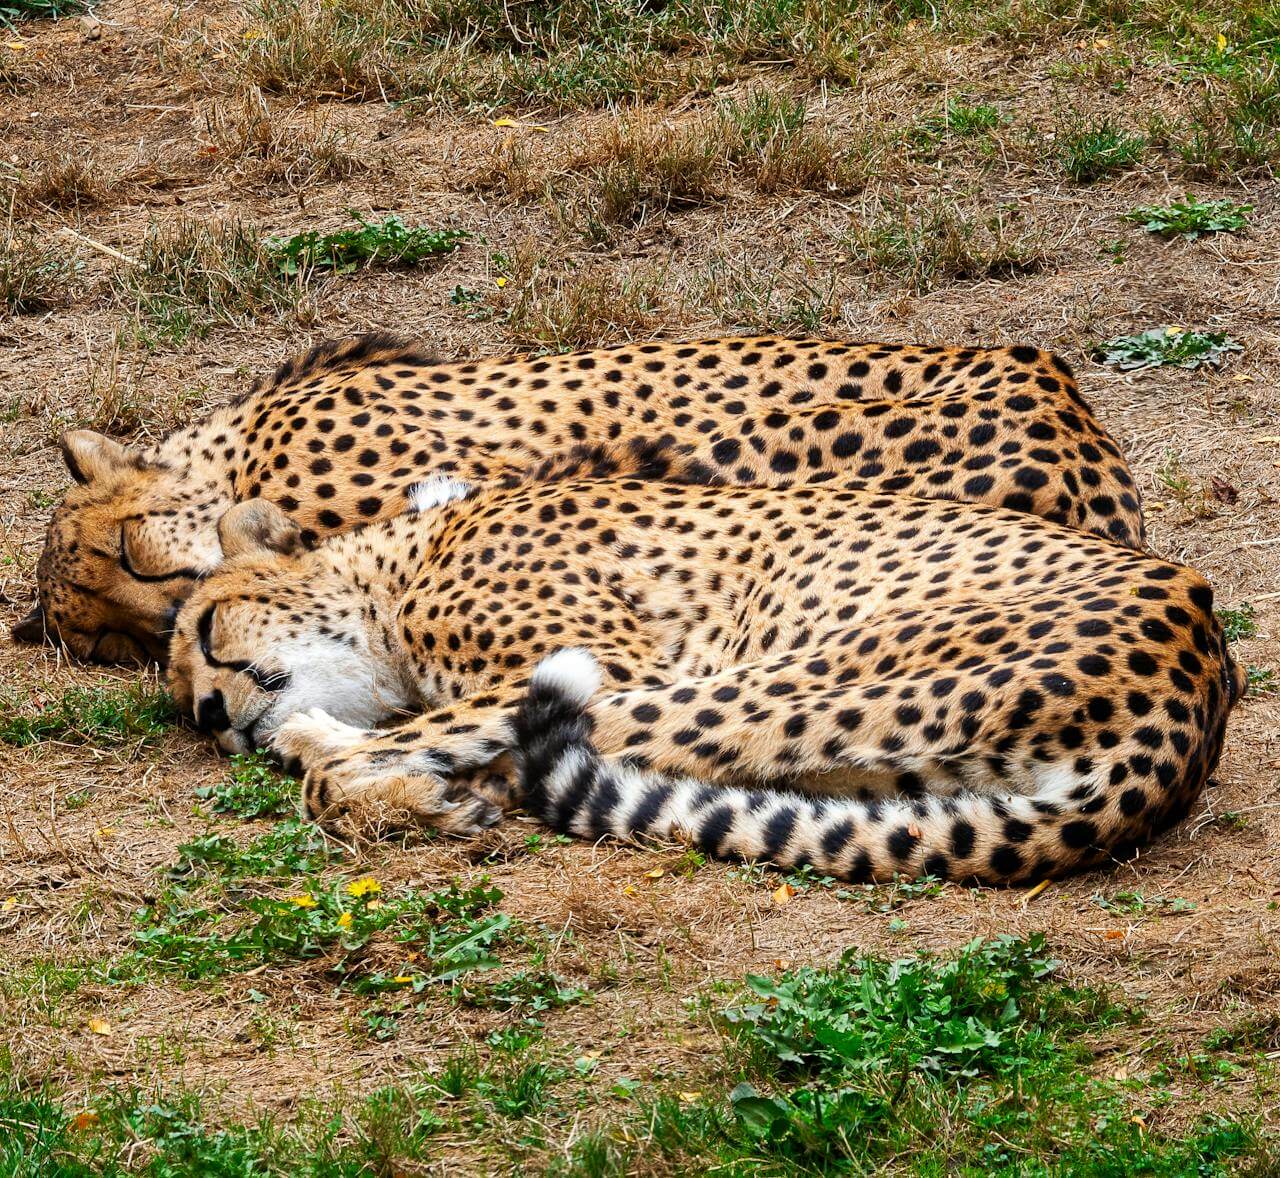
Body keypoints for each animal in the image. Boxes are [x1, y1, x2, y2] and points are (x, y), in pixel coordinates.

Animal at [165, 460, 1233, 880]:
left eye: (209, 630)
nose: (215, 717)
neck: (394, 569)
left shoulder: (604, 656)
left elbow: (377, 752)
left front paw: (362, 769)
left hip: (778, 676)